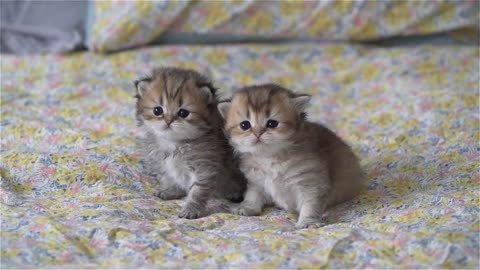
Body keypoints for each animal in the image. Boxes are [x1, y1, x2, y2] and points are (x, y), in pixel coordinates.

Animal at [135, 66, 248, 218]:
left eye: (183, 113)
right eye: (157, 110)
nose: (168, 121)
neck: (175, 143)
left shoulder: (204, 168)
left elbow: (197, 192)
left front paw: (191, 209)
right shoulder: (165, 164)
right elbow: (169, 177)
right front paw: (171, 190)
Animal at [218, 84, 364, 228]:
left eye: (272, 123)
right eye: (245, 125)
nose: (258, 133)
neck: (269, 157)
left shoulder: (311, 183)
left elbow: (310, 204)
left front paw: (308, 221)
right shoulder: (257, 181)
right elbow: (252, 195)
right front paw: (248, 207)